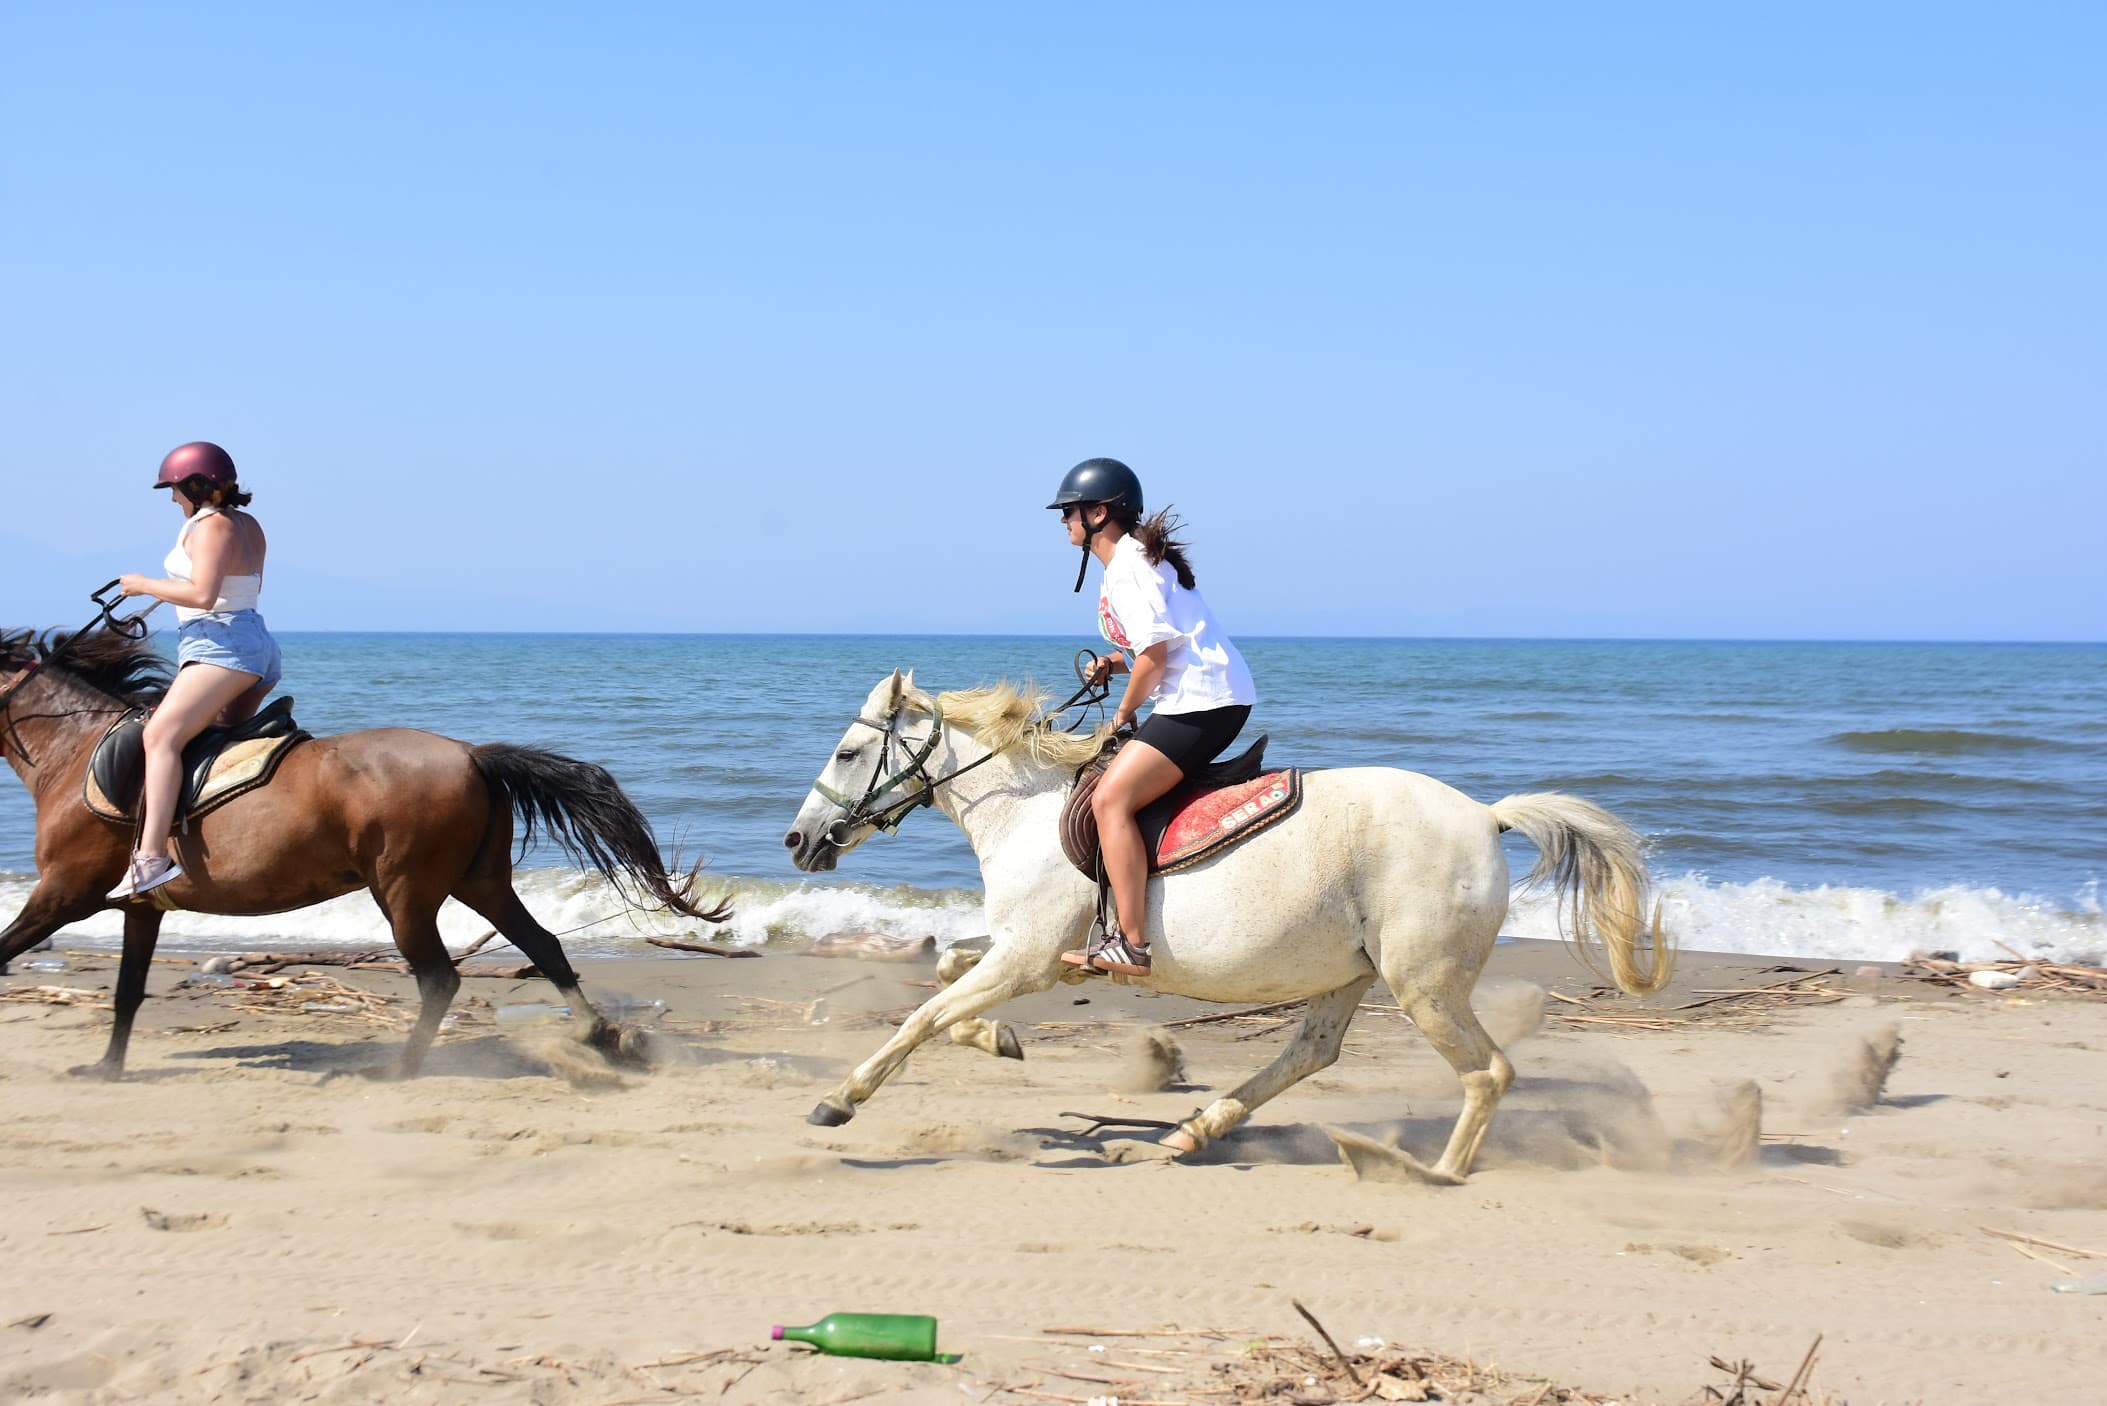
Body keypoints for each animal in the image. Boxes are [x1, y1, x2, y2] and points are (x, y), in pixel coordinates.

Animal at [0, 625, 726, 1080]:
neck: (76, 753)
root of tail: (472, 755)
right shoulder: (140, 908)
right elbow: (126, 991)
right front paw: (106, 1069)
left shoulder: (64, 895)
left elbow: (4, 950)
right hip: (479, 882)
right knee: (542, 946)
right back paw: (605, 1037)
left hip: (404, 893)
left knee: (441, 978)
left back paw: (397, 1069)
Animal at [783, 669, 1673, 1184]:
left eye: (848, 751)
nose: (797, 840)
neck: (1027, 811)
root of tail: (1486, 817)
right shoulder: (1033, 955)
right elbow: (941, 985)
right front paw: (999, 1041)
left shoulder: (1029, 957)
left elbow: (923, 1015)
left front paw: (838, 1102)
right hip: (1351, 973)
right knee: (1310, 1054)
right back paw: (1188, 1134)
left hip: (1423, 983)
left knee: (1486, 1073)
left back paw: (1436, 1174)